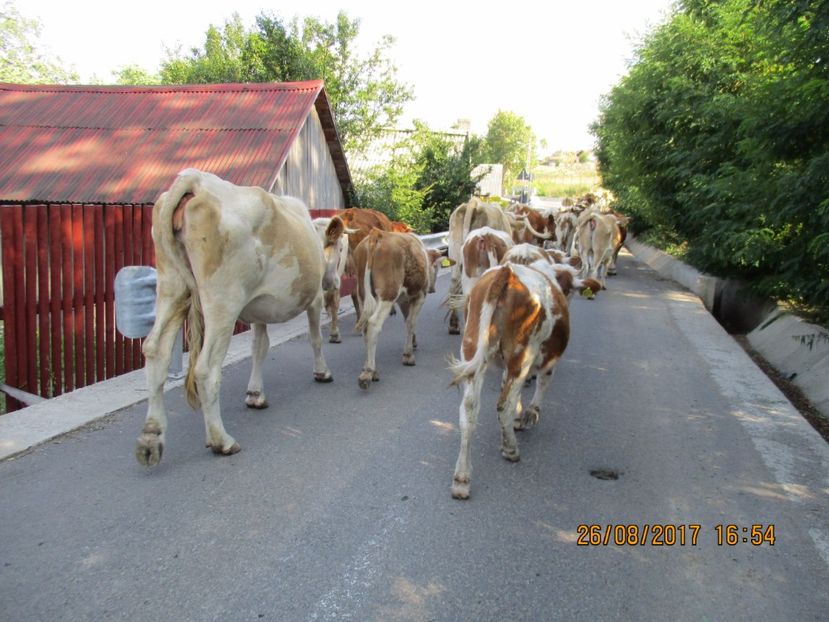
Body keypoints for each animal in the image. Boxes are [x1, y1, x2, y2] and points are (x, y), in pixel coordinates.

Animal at [354, 230, 446, 390]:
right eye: (436, 268)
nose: (433, 289)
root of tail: (377, 233)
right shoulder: (420, 296)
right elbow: (411, 322)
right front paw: (408, 355)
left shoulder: (403, 299)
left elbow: (406, 318)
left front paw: (413, 343)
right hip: (388, 294)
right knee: (373, 324)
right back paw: (369, 372)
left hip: (363, 295)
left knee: (365, 327)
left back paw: (371, 369)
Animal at [446, 260, 596, 500]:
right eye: (569, 289)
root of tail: (507, 272)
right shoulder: (546, 360)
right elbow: (542, 385)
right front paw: (528, 416)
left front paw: (517, 419)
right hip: (522, 356)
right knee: (503, 405)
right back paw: (511, 449)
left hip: (471, 349)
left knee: (469, 410)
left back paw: (461, 479)